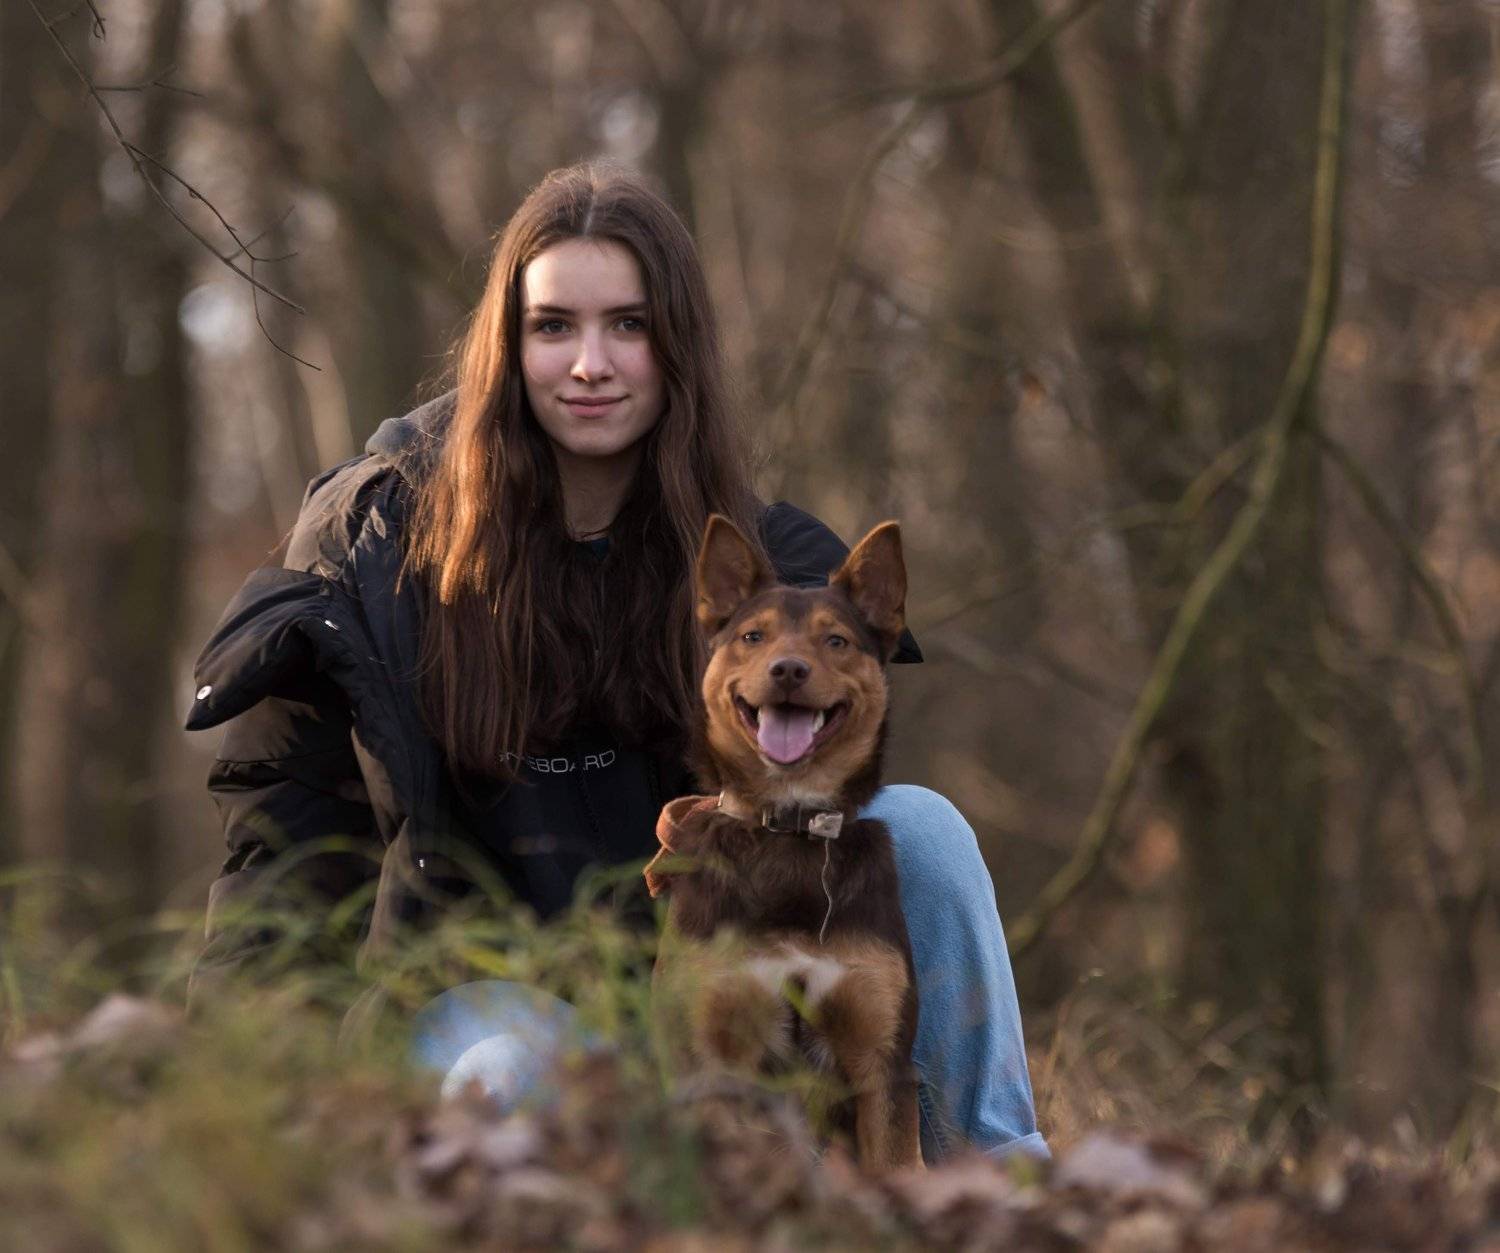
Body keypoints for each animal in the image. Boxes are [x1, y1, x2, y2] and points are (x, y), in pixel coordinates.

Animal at [644, 514, 921, 1171]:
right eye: (753, 636)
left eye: (836, 642)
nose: (788, 670)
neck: (789, 826)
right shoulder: (708, 1050)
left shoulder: (883, 1059)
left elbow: (899, 1167)